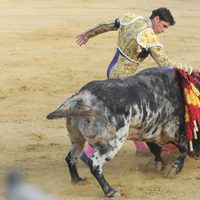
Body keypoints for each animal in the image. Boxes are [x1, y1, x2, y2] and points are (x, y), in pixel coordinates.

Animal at [47, 67, 200, 197]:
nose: (197, 155)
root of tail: (84, 96)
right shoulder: (174, 129)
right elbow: (183, 148)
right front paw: (173, 169)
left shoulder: (148, 130)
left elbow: (155, 148)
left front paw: (157, 164)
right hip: (111, 144)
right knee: (95, 163)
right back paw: (110, 191)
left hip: (77, 138)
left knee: (71, 157)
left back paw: (77, 180)